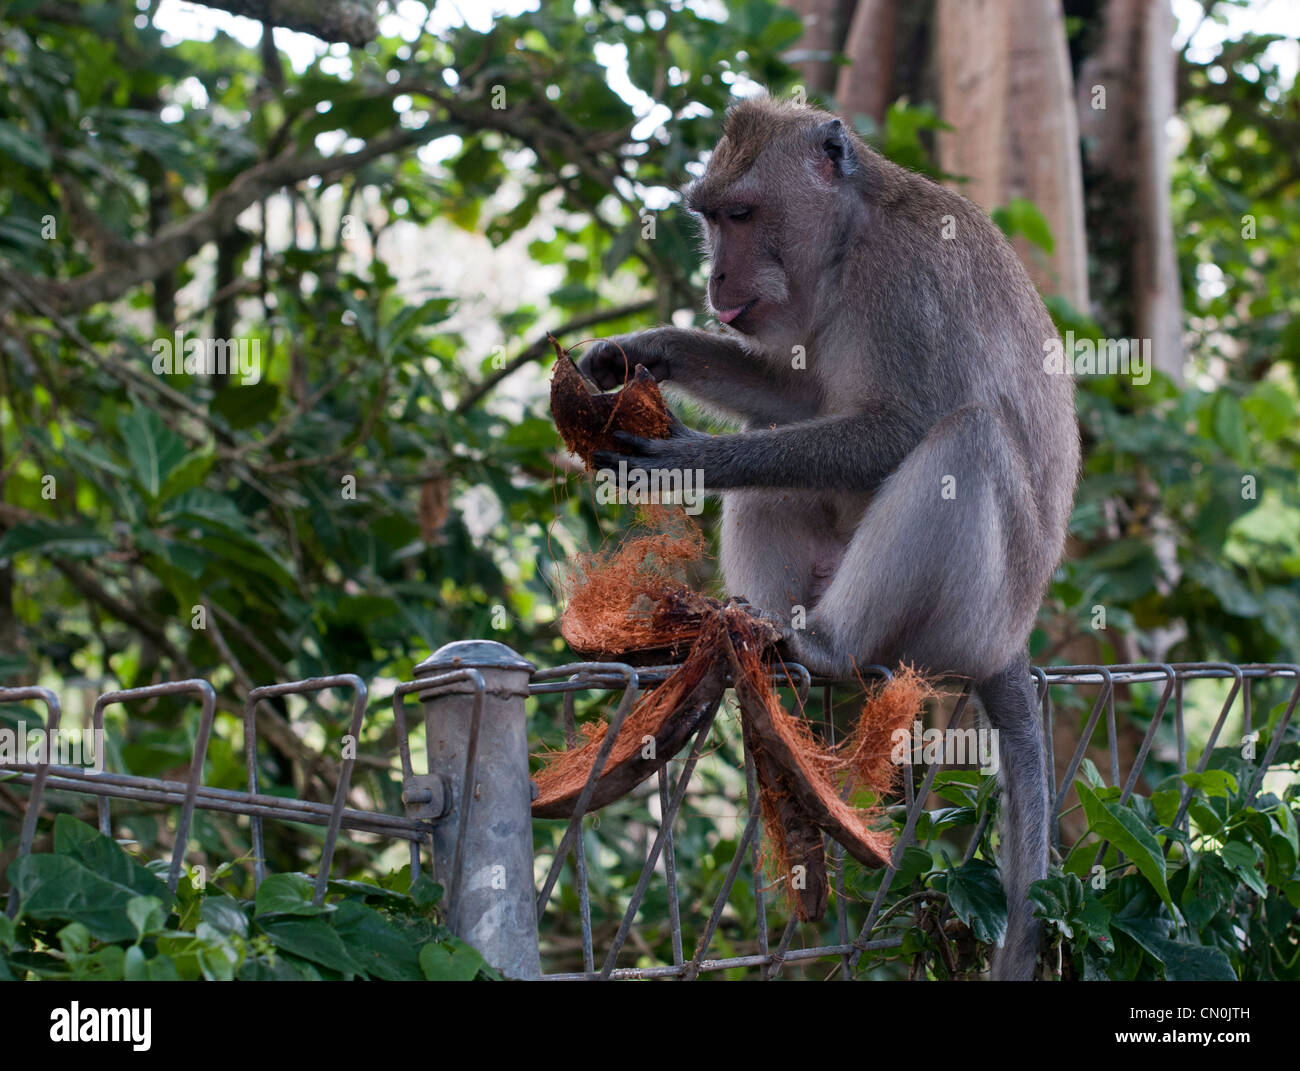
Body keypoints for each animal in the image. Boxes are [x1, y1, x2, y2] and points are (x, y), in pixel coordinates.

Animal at [585, 94, 1081, 977]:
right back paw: (743, 633)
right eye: (709, 217)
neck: (849, 244)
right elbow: (798, 398)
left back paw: (827, 646)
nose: (715, 279)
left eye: (742, 215)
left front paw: (690, 460)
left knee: (966, 439)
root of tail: (1009, 642)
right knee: (783, 456)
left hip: (967, 618)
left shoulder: (909, 283)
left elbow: (900, 425)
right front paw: (646, 350)